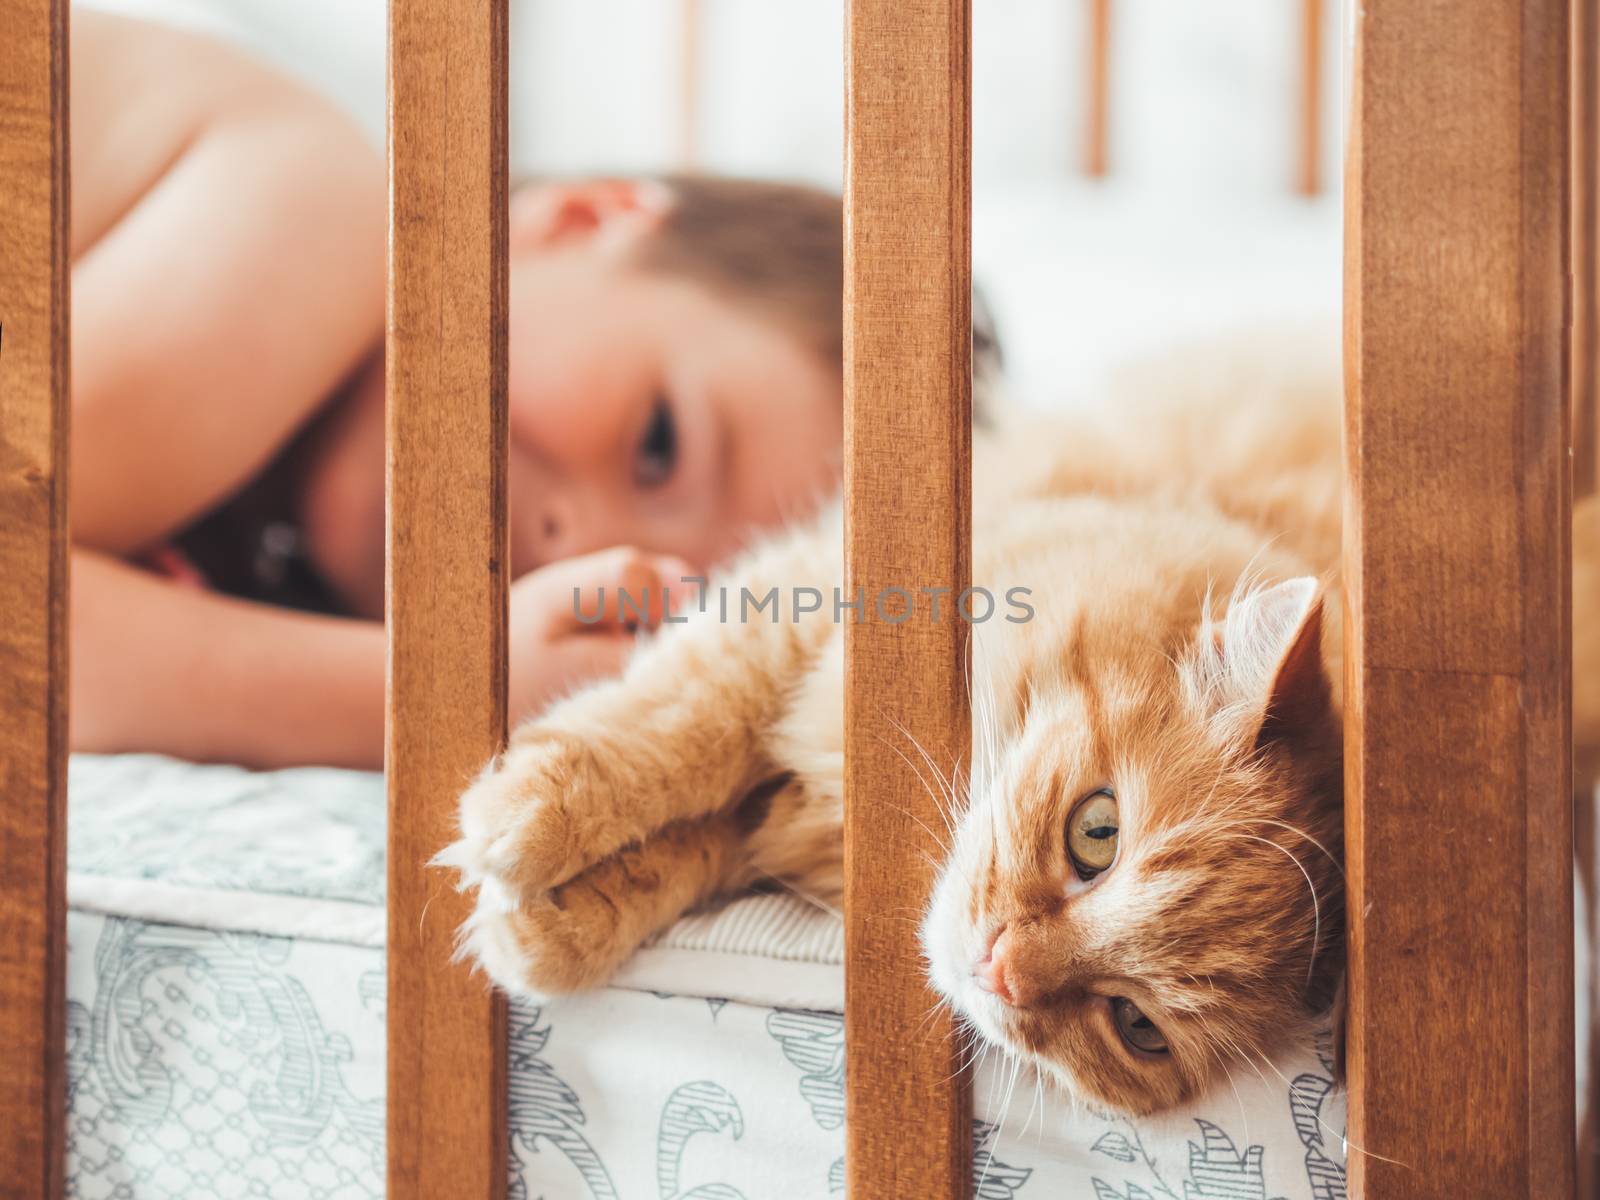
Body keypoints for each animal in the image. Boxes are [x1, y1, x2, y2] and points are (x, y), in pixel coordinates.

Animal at [441, 336, 1600, 1120]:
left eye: (1134, 1028)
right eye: (1098, 833)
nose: (1001, 970)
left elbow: (698, 840)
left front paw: (546, 923)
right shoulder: (808, 605)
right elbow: (683, 726)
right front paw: (527, 822)